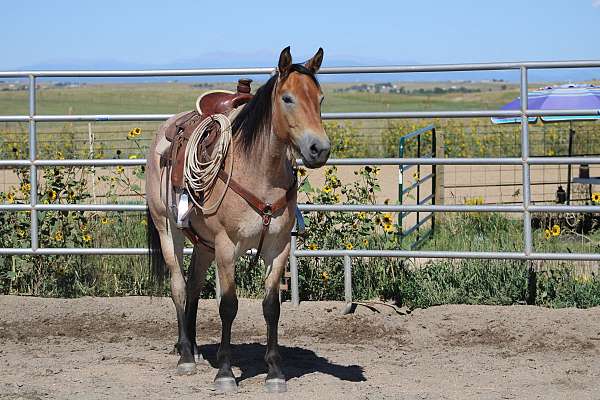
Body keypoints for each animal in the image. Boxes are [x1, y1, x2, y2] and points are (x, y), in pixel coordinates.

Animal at [147, 45, 330, 392]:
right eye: (287, 98)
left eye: (320, 98)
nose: (320, 149)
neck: (260, 172)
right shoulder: (226, 246)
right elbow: (228, 306)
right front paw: (225, 373)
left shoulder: (277, 247)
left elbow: (271, 306)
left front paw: (274, 372)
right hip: (168, 230)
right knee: (179, 287)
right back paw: (185, 356)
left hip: (203, 244)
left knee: (193, 287)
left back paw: (193, 347)